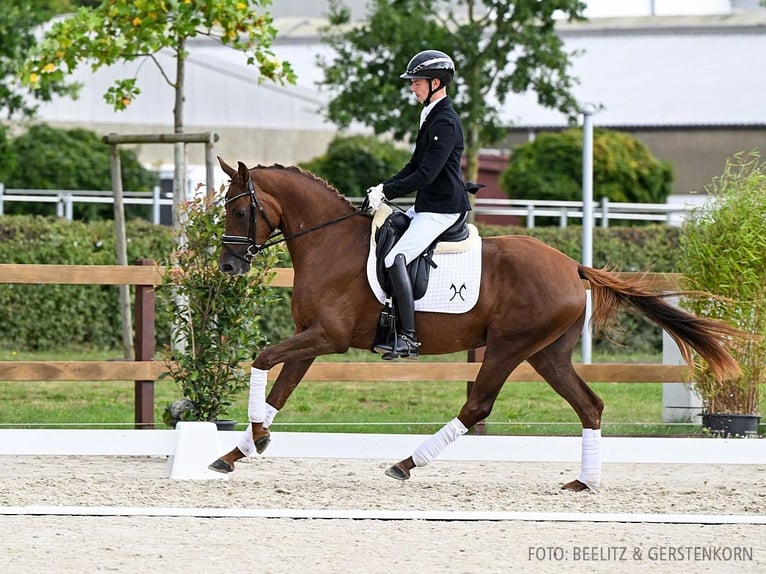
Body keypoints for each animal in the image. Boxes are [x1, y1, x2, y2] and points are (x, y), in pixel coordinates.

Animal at [210, 160, 744, 492]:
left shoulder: (328, 338)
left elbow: (261, 360)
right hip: (547, 354)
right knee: (589, 406)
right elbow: (279, 391)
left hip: (509, 347)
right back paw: (584, 482)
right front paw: (241, 448)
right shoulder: (313, 340)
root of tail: (573, 267)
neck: (327, 242)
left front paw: (253, 440)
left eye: (240, 209)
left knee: (478, 405)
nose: (230, 267)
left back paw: (406, 464)